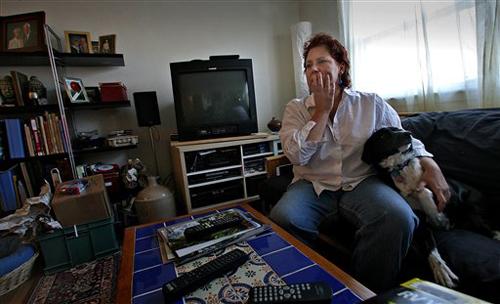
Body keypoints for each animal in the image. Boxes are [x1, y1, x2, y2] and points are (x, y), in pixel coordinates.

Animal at [362, 127, 458, 288]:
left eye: (397, 128)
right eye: (383, 135)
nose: (408, 133)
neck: (400, 166)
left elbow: (425, 192)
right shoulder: (420, 220)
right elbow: (429, 245)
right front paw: (441, 270)